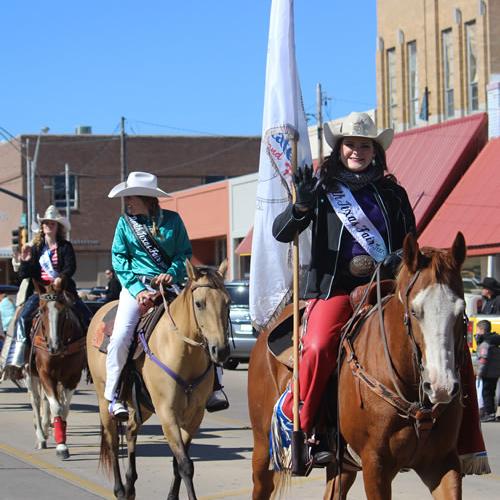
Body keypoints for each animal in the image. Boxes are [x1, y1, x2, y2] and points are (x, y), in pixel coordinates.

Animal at [25, 280, 87, 458]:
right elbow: (57, 407)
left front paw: (61, 440)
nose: (54, 346)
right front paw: (61, 446)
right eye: (41, 310)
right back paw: (41, 436)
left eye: (64, 310)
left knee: (45, 401)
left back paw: (46, 428)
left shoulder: (72, 377)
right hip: (30, 374)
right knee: (35, 400)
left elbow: (64, 409)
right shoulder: (45, 374)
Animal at [87, 262, 231, 500]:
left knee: (130, 430)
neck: (183, 353)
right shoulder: (167, 413)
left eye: (228, 302)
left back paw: (130, 485)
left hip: (143, 406)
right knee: (112, 441)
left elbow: (177, 463)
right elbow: (185, 465)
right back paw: (120, 489)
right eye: (199, 303)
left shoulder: (194, 416)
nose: (221, 351)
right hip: (103, 400)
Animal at [248, 232, 470, 498]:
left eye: (461, 310)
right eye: (415, 311)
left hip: (342, 464)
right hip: (263, 448)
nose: (441, 387)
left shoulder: (442, 462)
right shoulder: (376, 464)